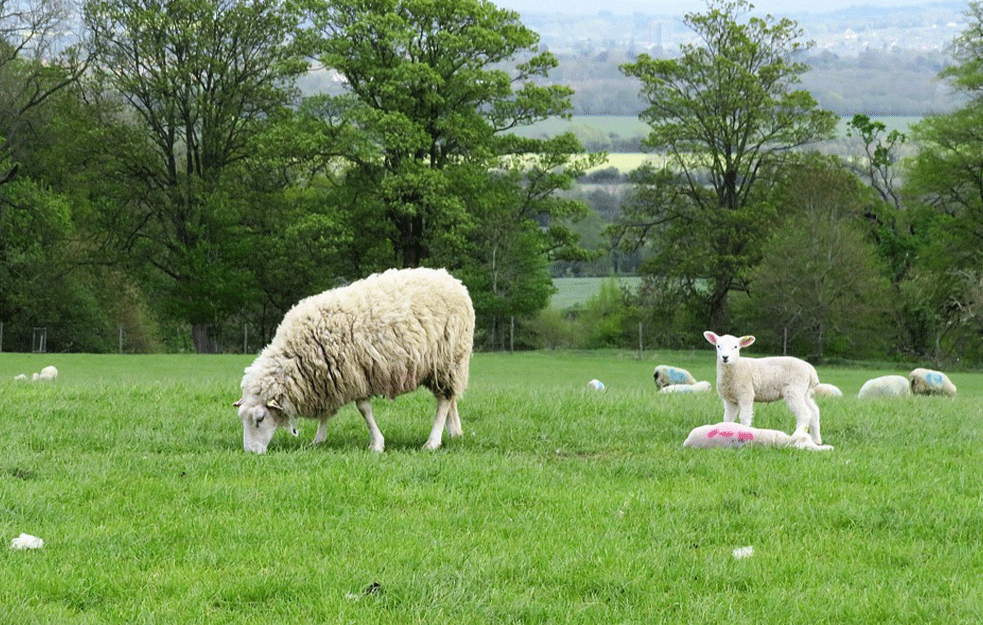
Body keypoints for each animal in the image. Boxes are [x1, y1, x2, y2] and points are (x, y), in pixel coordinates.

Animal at [234, 266, 472, 450]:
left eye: (260, 419)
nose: (251, 453)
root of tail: (452, 280)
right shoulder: (327, 376)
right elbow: (327, 413)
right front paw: (318, 440)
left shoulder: (355, 372)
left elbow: (364, 409)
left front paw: (376, 444)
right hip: (443, 365)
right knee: (450, 399)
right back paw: (455, 432)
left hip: (448, 359)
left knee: (443, 401)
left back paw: (433, 442)